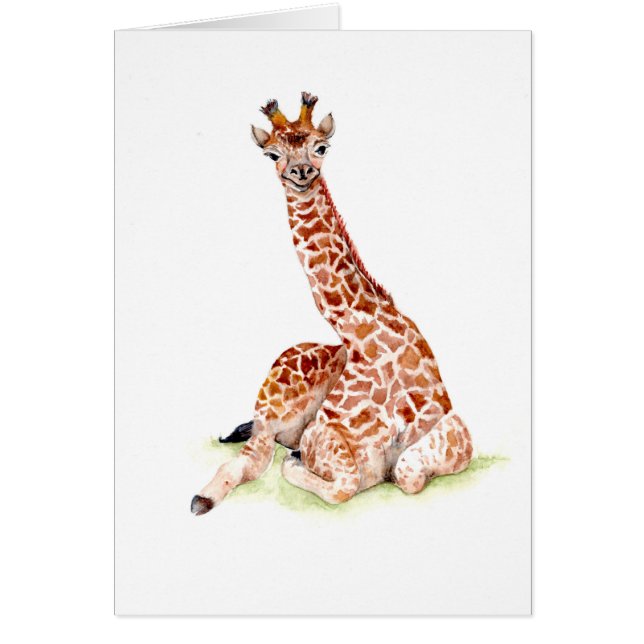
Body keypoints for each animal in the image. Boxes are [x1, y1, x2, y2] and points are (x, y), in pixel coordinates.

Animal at [190, 92, 472, 515]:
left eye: (320, 147)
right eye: (272, 154)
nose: (302, 171)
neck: (365, 332)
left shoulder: (455, 430)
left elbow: (406, 471)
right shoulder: (326, 441)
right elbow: (343, 484)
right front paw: (294, 466)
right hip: (272, 405)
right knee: (253, 458)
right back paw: (205, 495)